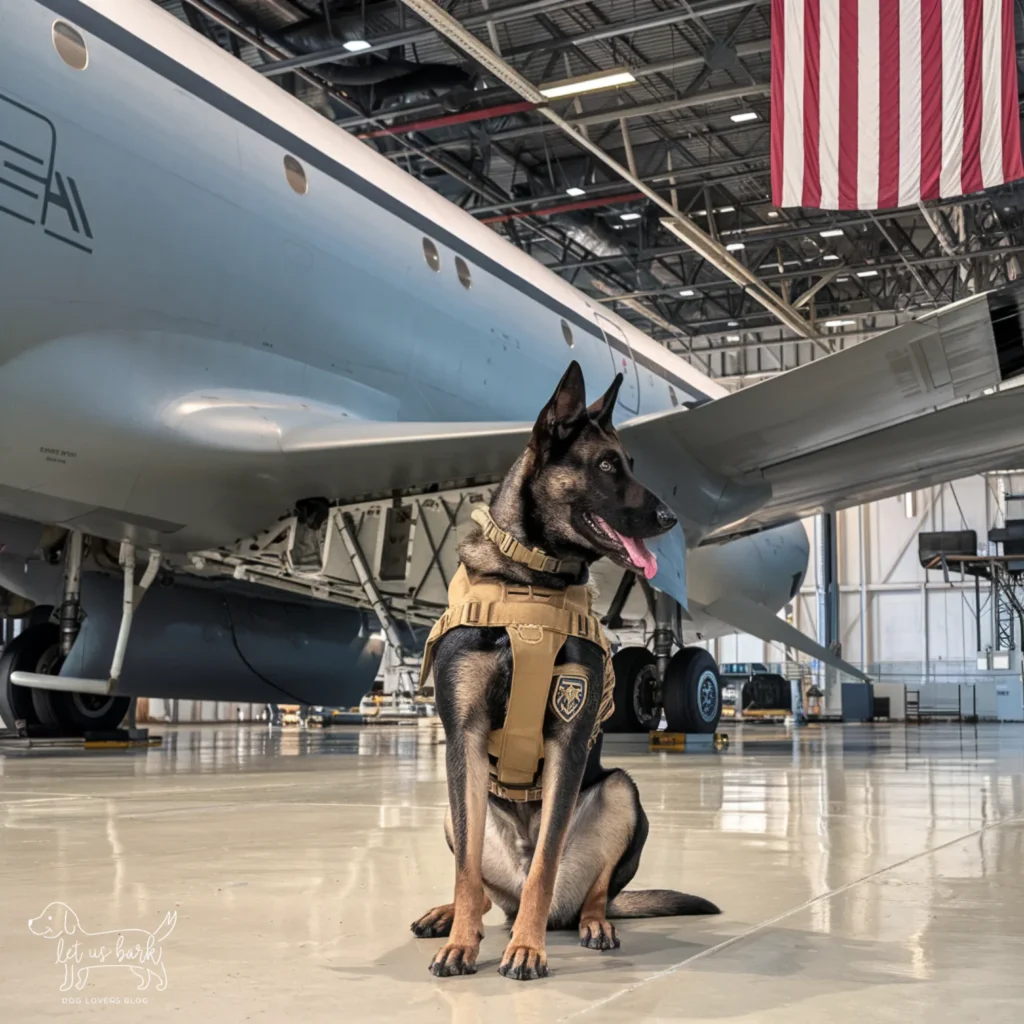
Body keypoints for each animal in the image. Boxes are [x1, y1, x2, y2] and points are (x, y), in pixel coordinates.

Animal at [27, 901, 174, 987]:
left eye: (49, 917)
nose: (30, 921)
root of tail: (152, 936)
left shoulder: (74, 966)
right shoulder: (76, 967)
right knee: (146, 976)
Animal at [409, 364, 720, 978]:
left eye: (629, 463)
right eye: (606, 466)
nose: (670, 519)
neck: (529, 580)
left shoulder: (569, 739)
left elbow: (547, 863)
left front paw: (527, 949)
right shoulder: (464, 738)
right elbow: (466, 871)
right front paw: (459, 944)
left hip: (622, 793)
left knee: (586, 892)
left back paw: (589, 923)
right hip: (456, 807)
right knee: (480, 889)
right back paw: (451, 918)